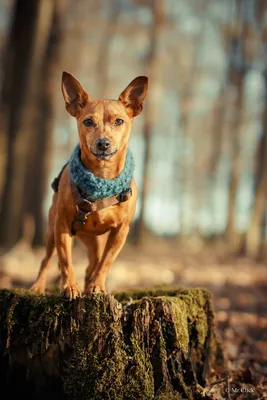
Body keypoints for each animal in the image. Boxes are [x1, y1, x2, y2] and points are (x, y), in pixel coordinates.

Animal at [31, 72, 150, 298]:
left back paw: (90, 285)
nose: (103, 143)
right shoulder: (62, 225)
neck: (101, 178)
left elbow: (106, 262)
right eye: (87, 122)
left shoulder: (121, 231)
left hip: (96, 241)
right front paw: (70, 287)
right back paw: (37, 287)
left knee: (92, 265)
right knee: (46, 260)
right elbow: (66, 260)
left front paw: (96, 286)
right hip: (51, 232)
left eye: (119, 121)